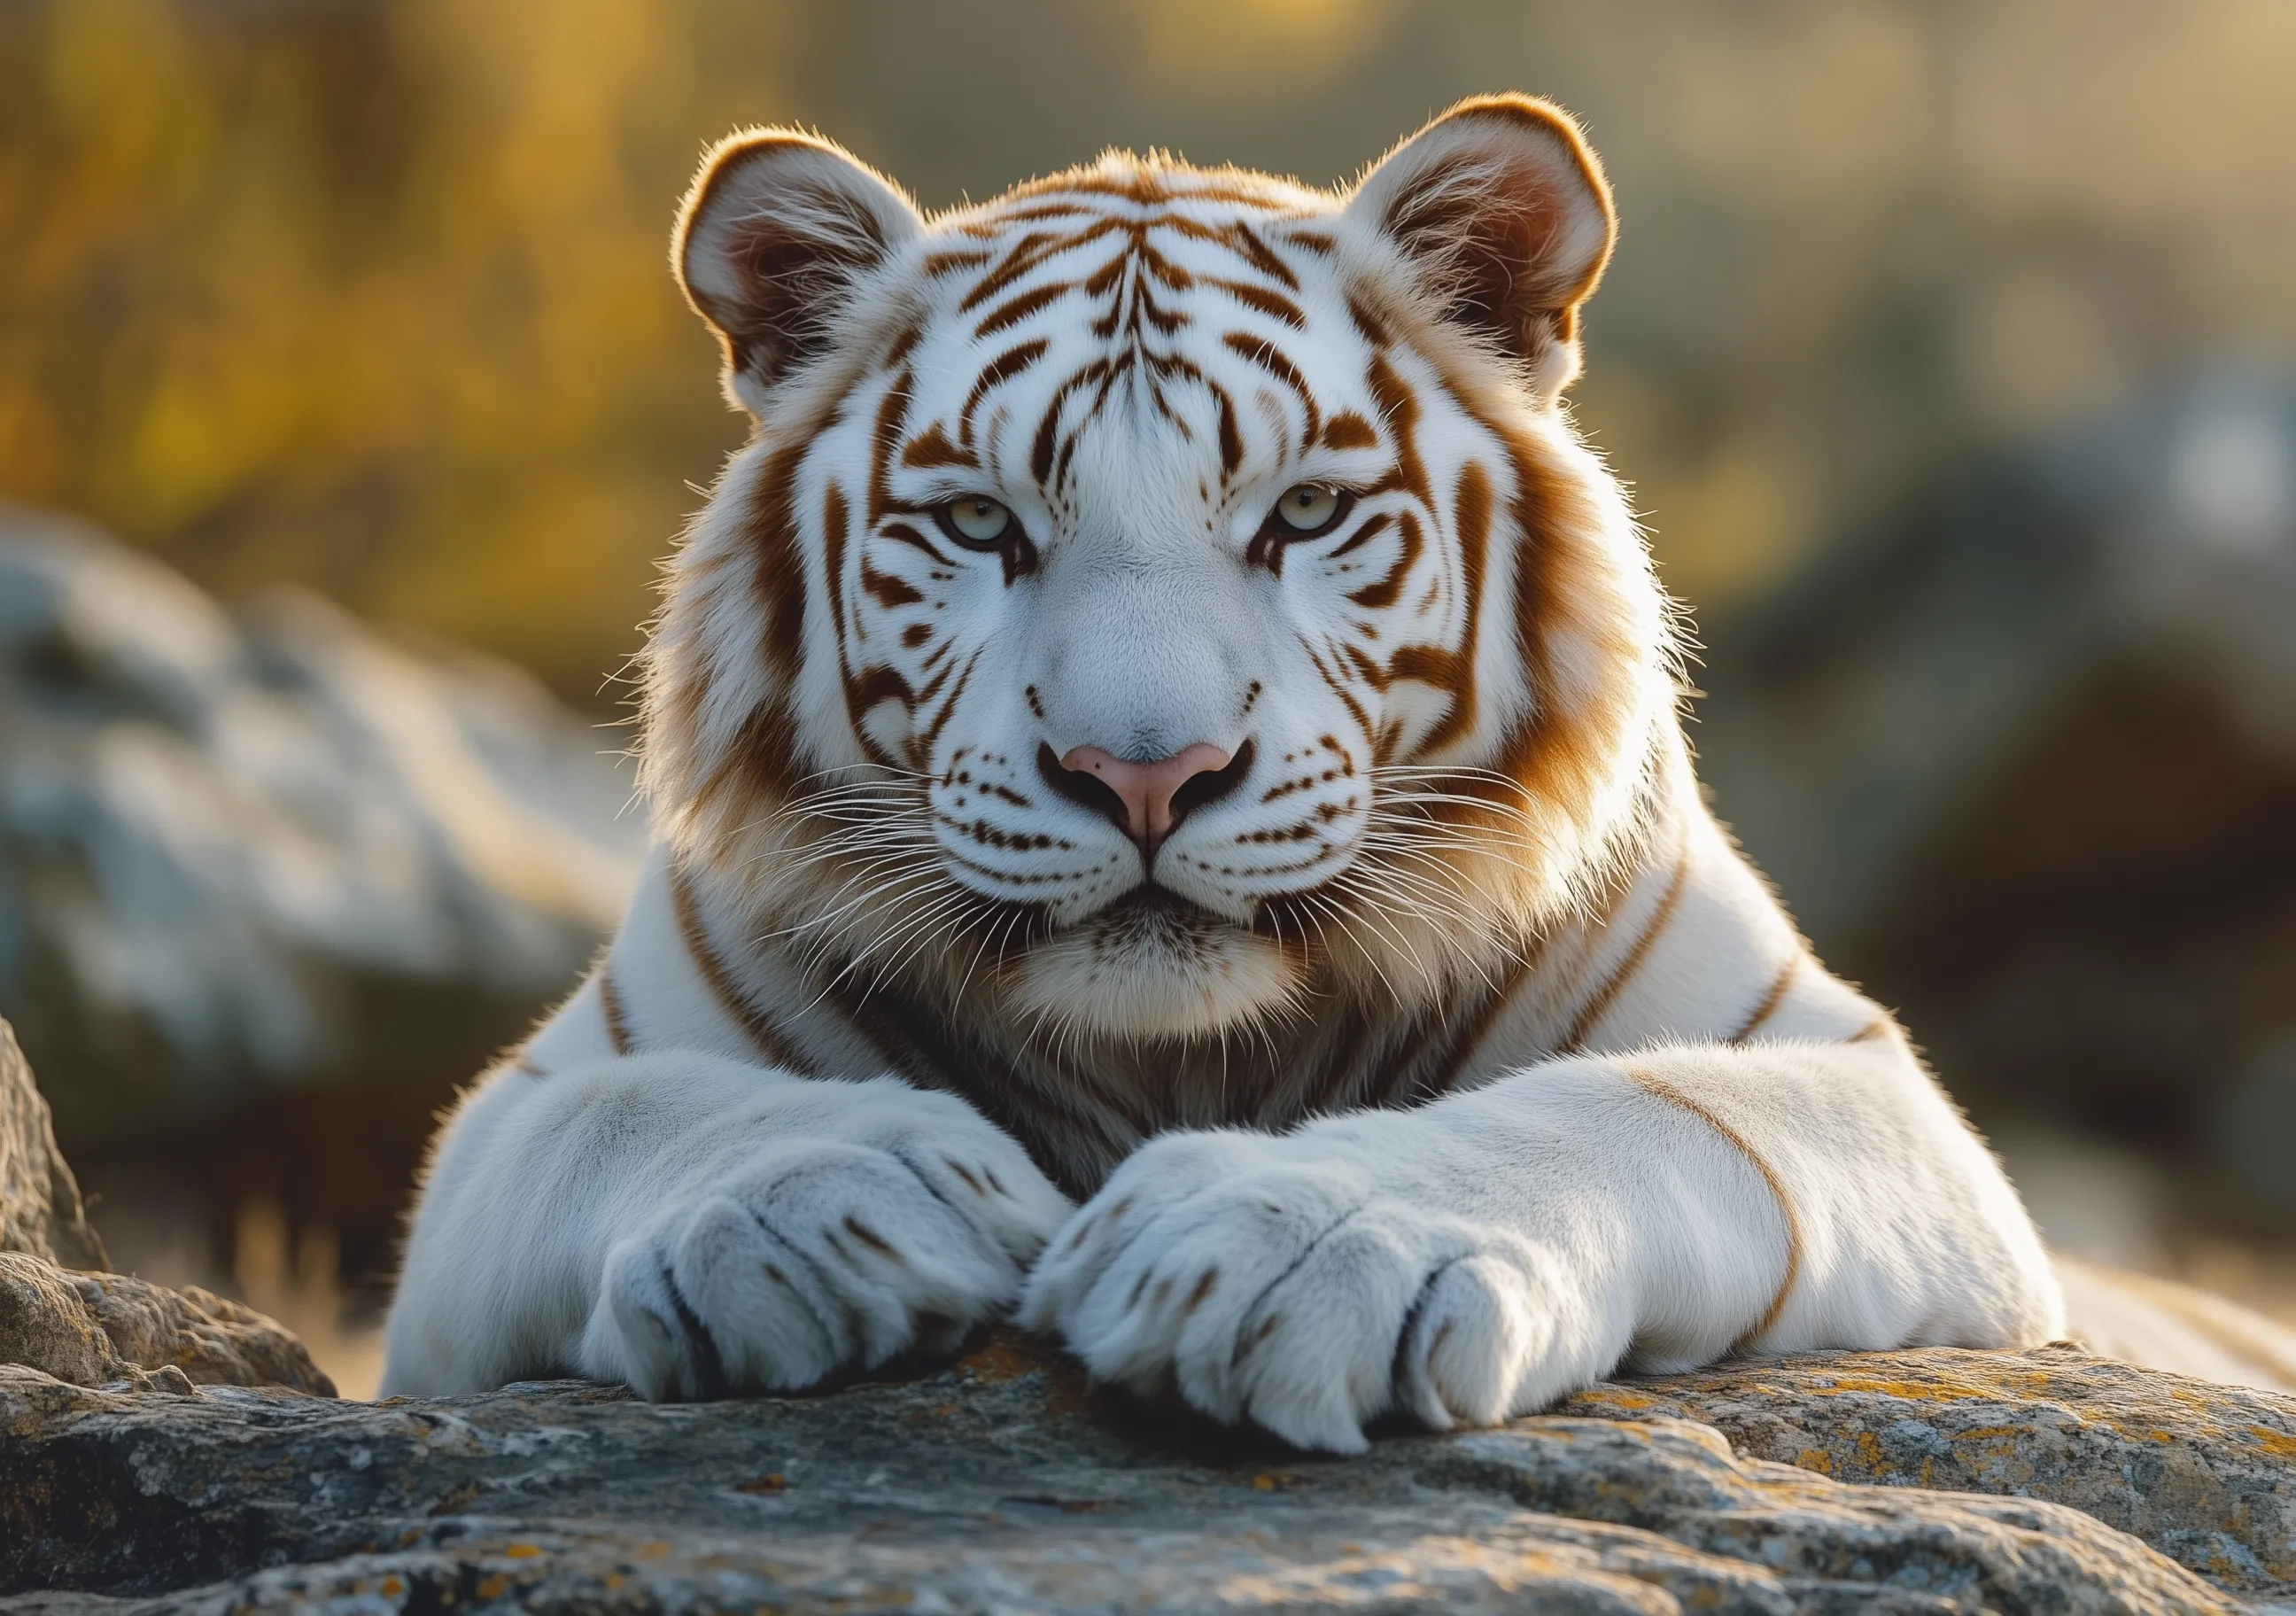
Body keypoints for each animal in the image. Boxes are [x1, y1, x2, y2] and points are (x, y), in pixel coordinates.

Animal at [379, 94, 2288, 1448]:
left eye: (1301, 512)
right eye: (982, 526)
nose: (1143, 775)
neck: (1174, 1061)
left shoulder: (1883, 1106)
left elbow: (1641, 1107)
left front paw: (1288, 1248)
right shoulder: (502, 1153)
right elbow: (623, 1115)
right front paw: (830, 1207)